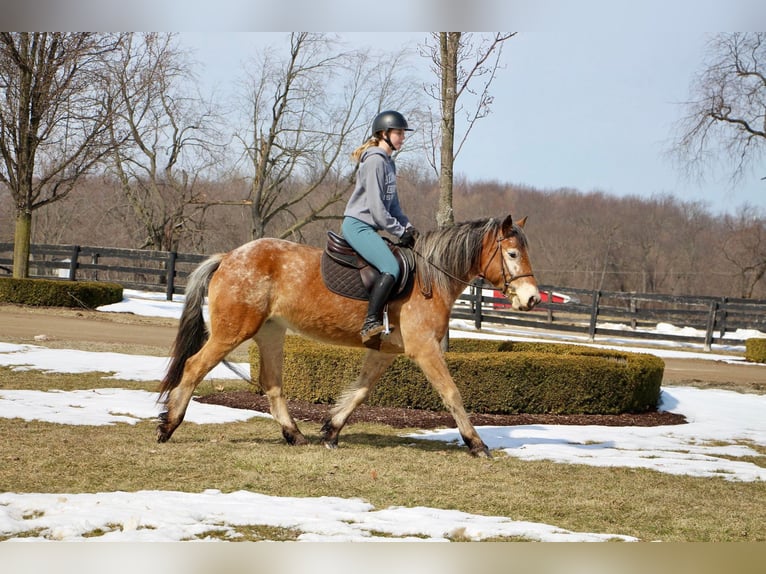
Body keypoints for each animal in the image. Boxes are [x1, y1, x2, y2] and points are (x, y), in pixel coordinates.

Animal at [156, 216, 540, 460]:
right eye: (511, 254)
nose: (533, 298)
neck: (429, 277)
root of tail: (228, 257)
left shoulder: (386, 351)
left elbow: (360, 391)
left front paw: (331, 430)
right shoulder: (425, 350)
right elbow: (452, 394)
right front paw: (476, 444)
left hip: (271, 332)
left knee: (273, 384)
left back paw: (295, 435)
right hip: (233, 331)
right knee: (194, 367)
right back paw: (168, 425)